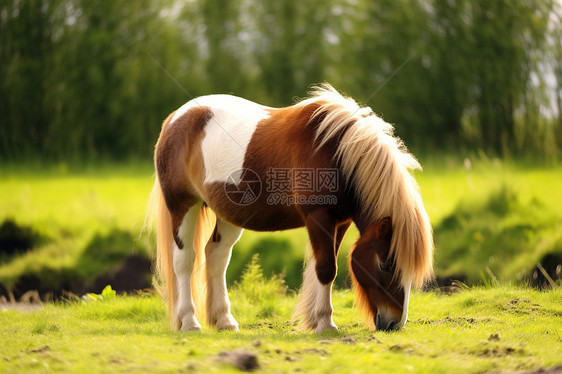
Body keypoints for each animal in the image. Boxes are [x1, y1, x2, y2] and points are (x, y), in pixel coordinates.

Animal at [145, 83, 434, 332]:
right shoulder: (319, 217)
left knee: (216, 256)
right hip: (183, 206)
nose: (395, 323)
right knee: (185, 260)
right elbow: (326, 268)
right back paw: (189, 322)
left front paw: (316, 320)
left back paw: (225, 321)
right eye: (385, 265)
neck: (336, 154)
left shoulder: (339, 222)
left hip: (228, 214)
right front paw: (325, 323)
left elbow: (325, 267)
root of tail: (176, 118)